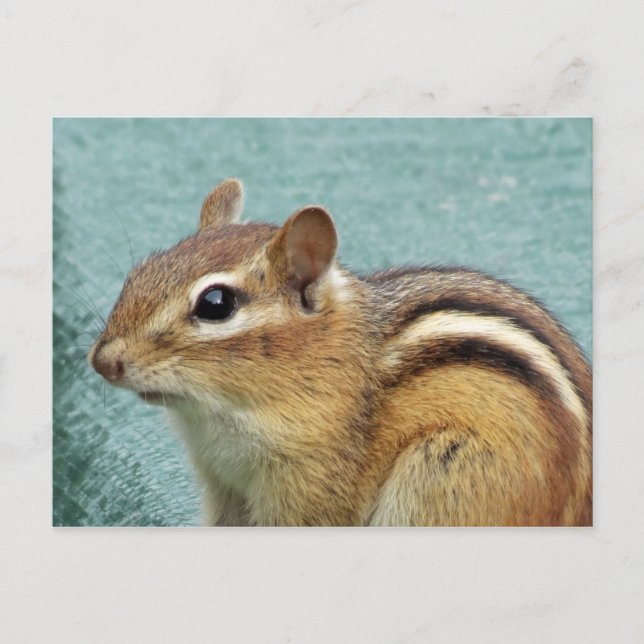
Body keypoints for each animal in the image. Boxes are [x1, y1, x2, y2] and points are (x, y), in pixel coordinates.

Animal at [89, 178, 592, 526]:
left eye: (216, 304)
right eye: (140, 271)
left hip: (442, 476)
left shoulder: (309, 485)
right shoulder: (223, 485)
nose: (103, 362)